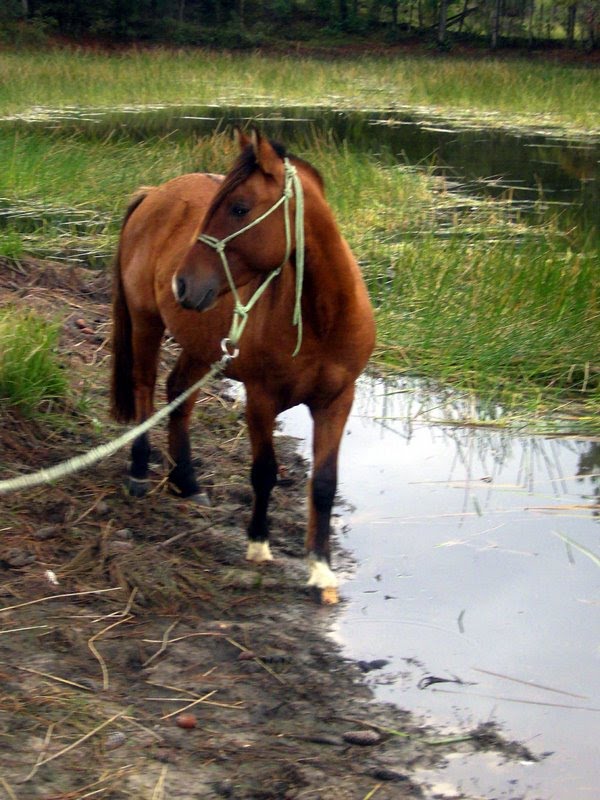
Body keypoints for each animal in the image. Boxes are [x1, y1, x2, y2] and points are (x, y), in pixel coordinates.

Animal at [110, 128, 376, 604]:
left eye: (239, 208)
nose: (182, 283)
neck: (322, 319)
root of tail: (153, 194)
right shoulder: (261, 398)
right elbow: (264, 471)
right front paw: (257, 544)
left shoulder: (337, 400)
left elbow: (324, 483)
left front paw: (321, 570)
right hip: (145, 322)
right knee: (144, 388)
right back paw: (140, 471)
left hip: (201, 346)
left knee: (178, 396)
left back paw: (188, 483)